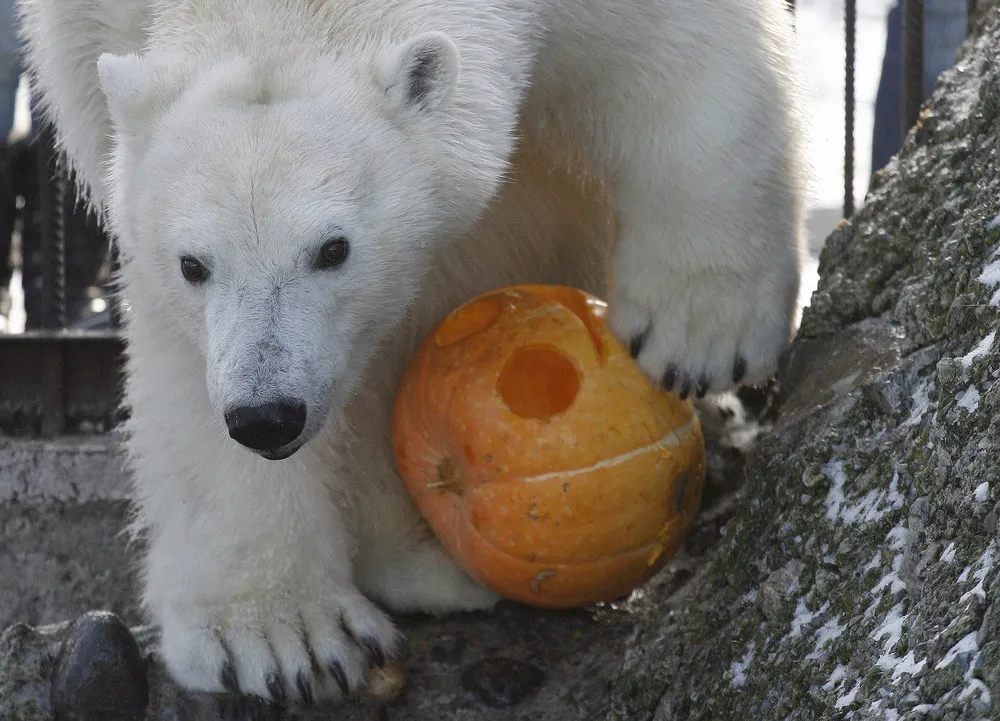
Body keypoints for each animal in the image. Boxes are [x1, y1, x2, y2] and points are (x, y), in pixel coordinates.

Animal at [15, 0, 808, 704]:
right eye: (193, 263)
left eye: (333, 248)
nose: (267, 415)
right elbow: (178, 354)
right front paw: (284, 636)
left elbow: (680, 60)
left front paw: (703, 331)